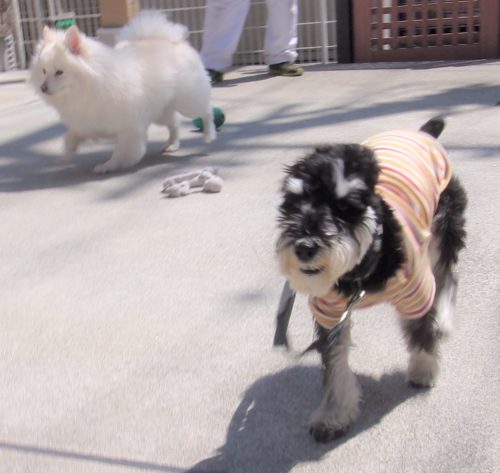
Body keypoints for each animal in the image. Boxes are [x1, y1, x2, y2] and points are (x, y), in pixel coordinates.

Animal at [30, 11, 215, 173]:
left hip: (188, 102)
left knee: (206, 111)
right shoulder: (87, 121)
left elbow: (121, 151)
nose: (43, 87)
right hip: (161, 111)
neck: (87, 88)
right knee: (174, 123)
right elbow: (70, 137)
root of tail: (174, 42)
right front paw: (66, 154)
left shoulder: (129, 128)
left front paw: (109, 166)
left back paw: (208, 134)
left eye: (59, 72)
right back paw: (172, 144)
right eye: (44, 71)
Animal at [276, 118, 467, 442]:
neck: (364, 266)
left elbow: (421, 331)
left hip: (444, 229)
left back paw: (442, 319)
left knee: (446, 277)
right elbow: (336, 364)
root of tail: (423, 133)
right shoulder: (331, 313)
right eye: (293, 203)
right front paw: (333, 416)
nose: (304, 247)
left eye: (344, 207)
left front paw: (424, 369)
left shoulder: (418, 294)